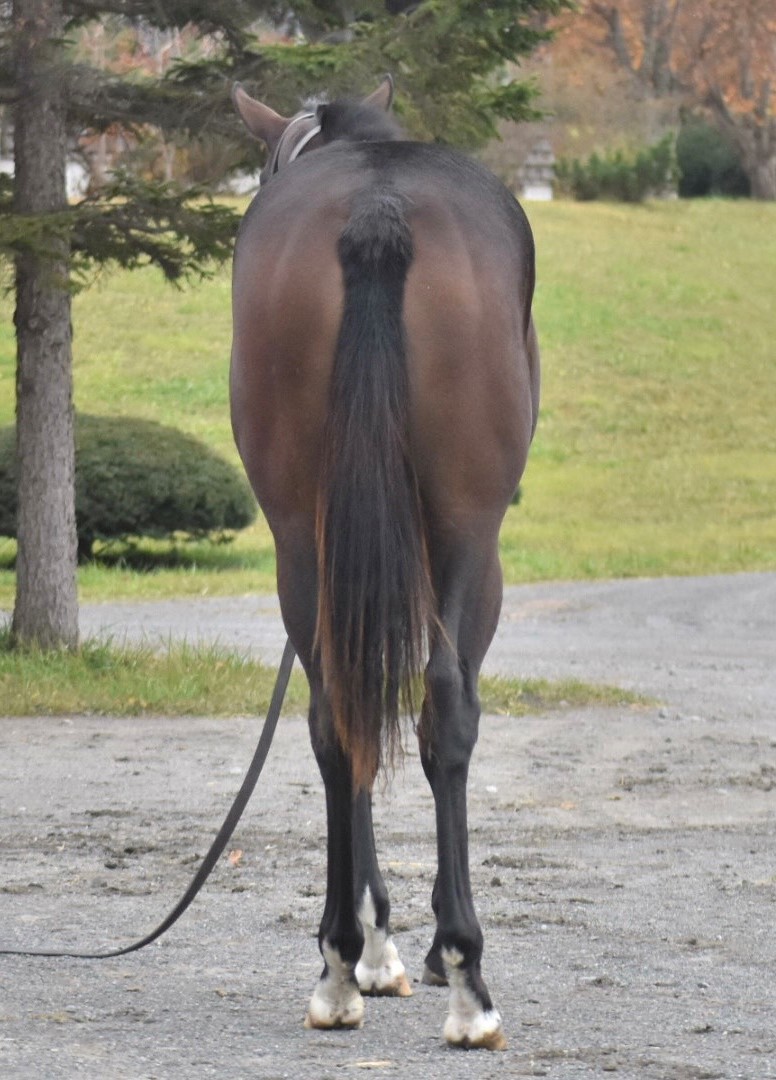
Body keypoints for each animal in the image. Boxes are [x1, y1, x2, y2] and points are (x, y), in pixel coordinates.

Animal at [230, 75, 540, 1050]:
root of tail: (377, 203)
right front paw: (423, 945)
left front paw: (379, 944)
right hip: (467, 532)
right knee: (441, 705)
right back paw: (451, 979)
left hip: (302, 536)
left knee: (338, 713)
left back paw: (341, 966)